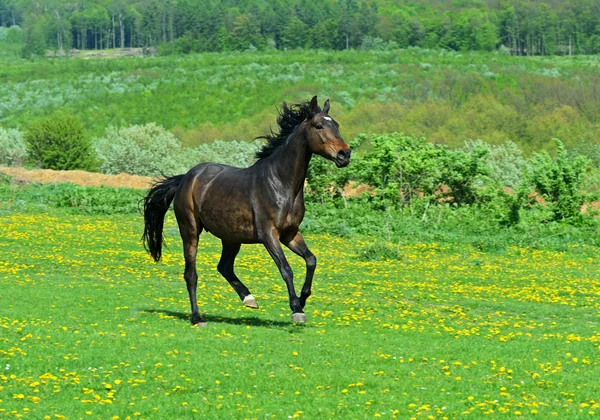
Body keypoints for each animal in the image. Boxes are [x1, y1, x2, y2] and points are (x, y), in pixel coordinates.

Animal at [143, 97, 352, 326]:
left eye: (337, 125)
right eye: (319, 125)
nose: (345, 154)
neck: (281, 183)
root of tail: (185, 179)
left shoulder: (290, 234)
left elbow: (311, 260)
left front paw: (303, 299)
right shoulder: (269, 235)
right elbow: (286, 269)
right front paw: (296, 309)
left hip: (231, 238)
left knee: (224, 267)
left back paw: (249, 299)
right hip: (190, 230)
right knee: (191, 274)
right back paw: (197, 318)